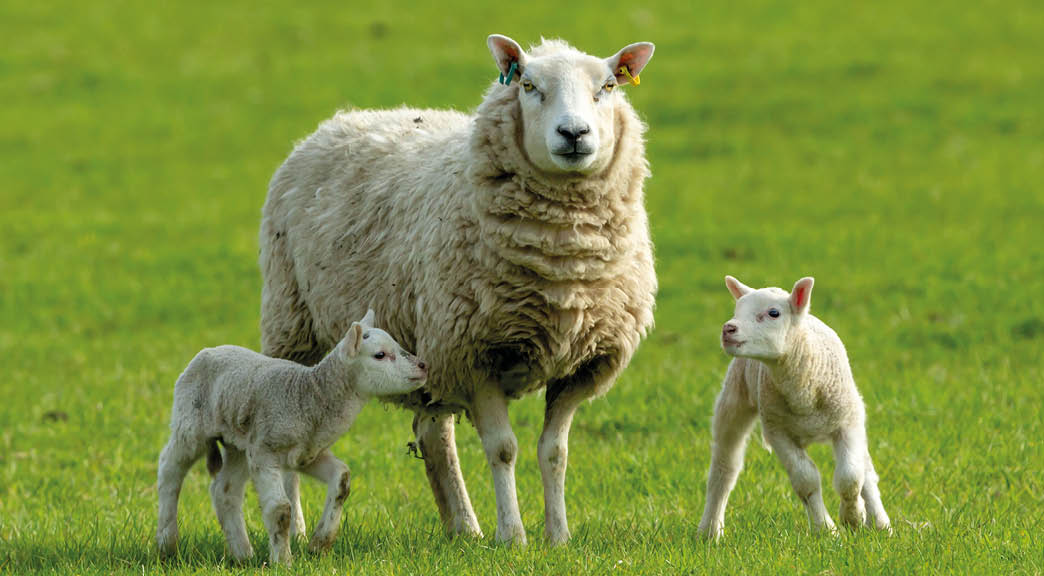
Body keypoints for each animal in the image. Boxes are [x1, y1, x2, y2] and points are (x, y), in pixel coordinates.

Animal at [156, 311, 428, 565]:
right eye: (380, 355)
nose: (423, 365)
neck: (309, 397)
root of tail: (208, 351)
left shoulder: (307, 454)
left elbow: (342, 478)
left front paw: (320, 543)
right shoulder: (266, 452)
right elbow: (281, 510)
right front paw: (284, 561)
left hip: (239, 443)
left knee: (225, 490)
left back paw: (243, 554)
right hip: (190, 423)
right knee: (169, 468)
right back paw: (167, 544)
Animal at [258, 34, 657, 545]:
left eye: (607, 86)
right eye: (528, 85)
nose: (573, 133)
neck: (562, 263)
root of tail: (344, 119)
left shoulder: (583, 365)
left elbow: (554, 452)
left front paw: (558, 536)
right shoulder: (475, 353)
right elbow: (504, 449)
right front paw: (513, 536)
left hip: (428, 347)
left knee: (433, 433)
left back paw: (463, 528)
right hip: (294, 324)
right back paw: (300, 528)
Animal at [697, 276, 891, 539]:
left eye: (774, 313)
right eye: (737, 310)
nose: (728, 328)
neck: (803, 392)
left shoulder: (847, 421)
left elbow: (850, 477)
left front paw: (853, 517)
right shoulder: (777, 430)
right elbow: (806, 480)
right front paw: (826, 529)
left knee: (866, 470)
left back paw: (880, 523)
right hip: (734, 399)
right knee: (724, 469)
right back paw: (710, 531)